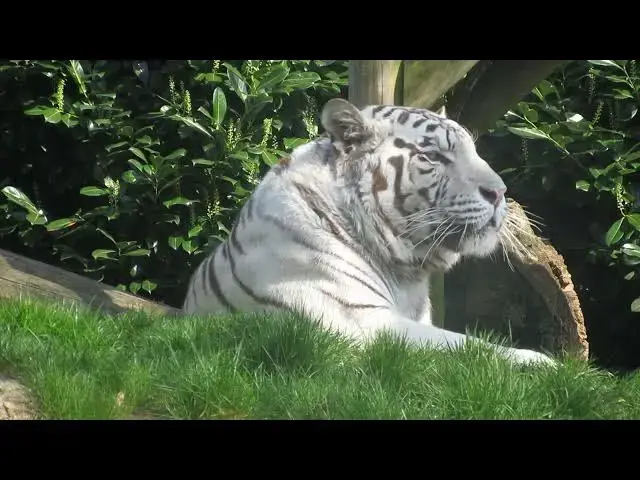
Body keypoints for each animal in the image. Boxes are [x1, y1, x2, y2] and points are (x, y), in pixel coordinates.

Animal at [182, 98, 555, 366]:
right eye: (434, 156)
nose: (500, 192)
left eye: (474, 152)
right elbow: (470, 346)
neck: (407, 270)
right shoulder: (364, 323)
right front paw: (545, 364)